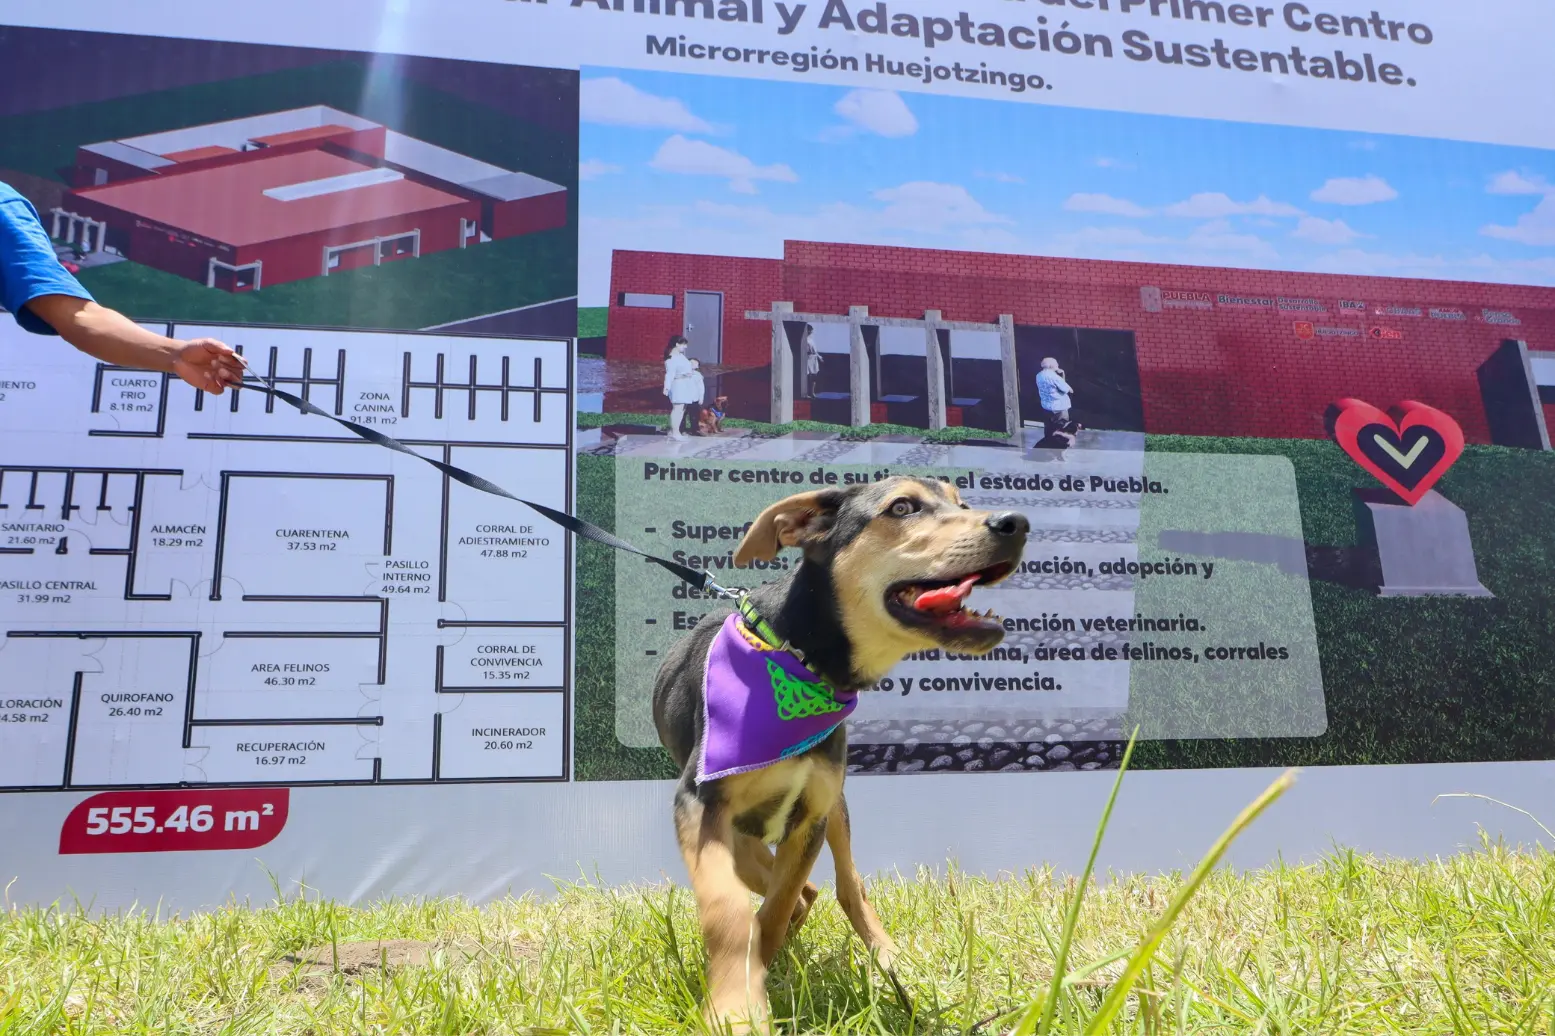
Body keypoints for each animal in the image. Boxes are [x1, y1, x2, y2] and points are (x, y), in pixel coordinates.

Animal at [651, 476, 1029, 1033]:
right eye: (902, 507)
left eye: (961, 502)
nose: (1015, 523)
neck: (802, 662)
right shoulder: (700, 805)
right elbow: (727, 909)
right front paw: (737, 1007)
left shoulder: (810, 814)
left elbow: (779, 904)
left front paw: (758, 976)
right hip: (739, 835)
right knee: (781, 887)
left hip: (835, 810)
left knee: (843, 887)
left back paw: (883, 956)